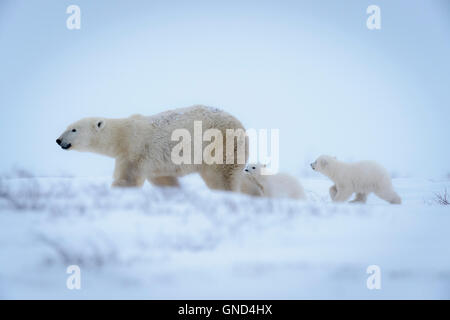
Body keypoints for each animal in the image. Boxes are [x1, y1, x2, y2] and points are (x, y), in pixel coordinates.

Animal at [55, 105, 250, 191]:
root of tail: (241, 126)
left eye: (74, 129)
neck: (122, 135)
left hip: (220, 144)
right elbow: (163, 179)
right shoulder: (156, 163)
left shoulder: (134, 151)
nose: (58, 140)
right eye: (67, 127)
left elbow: (128, 179)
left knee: (220, 175)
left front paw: (117, 186)